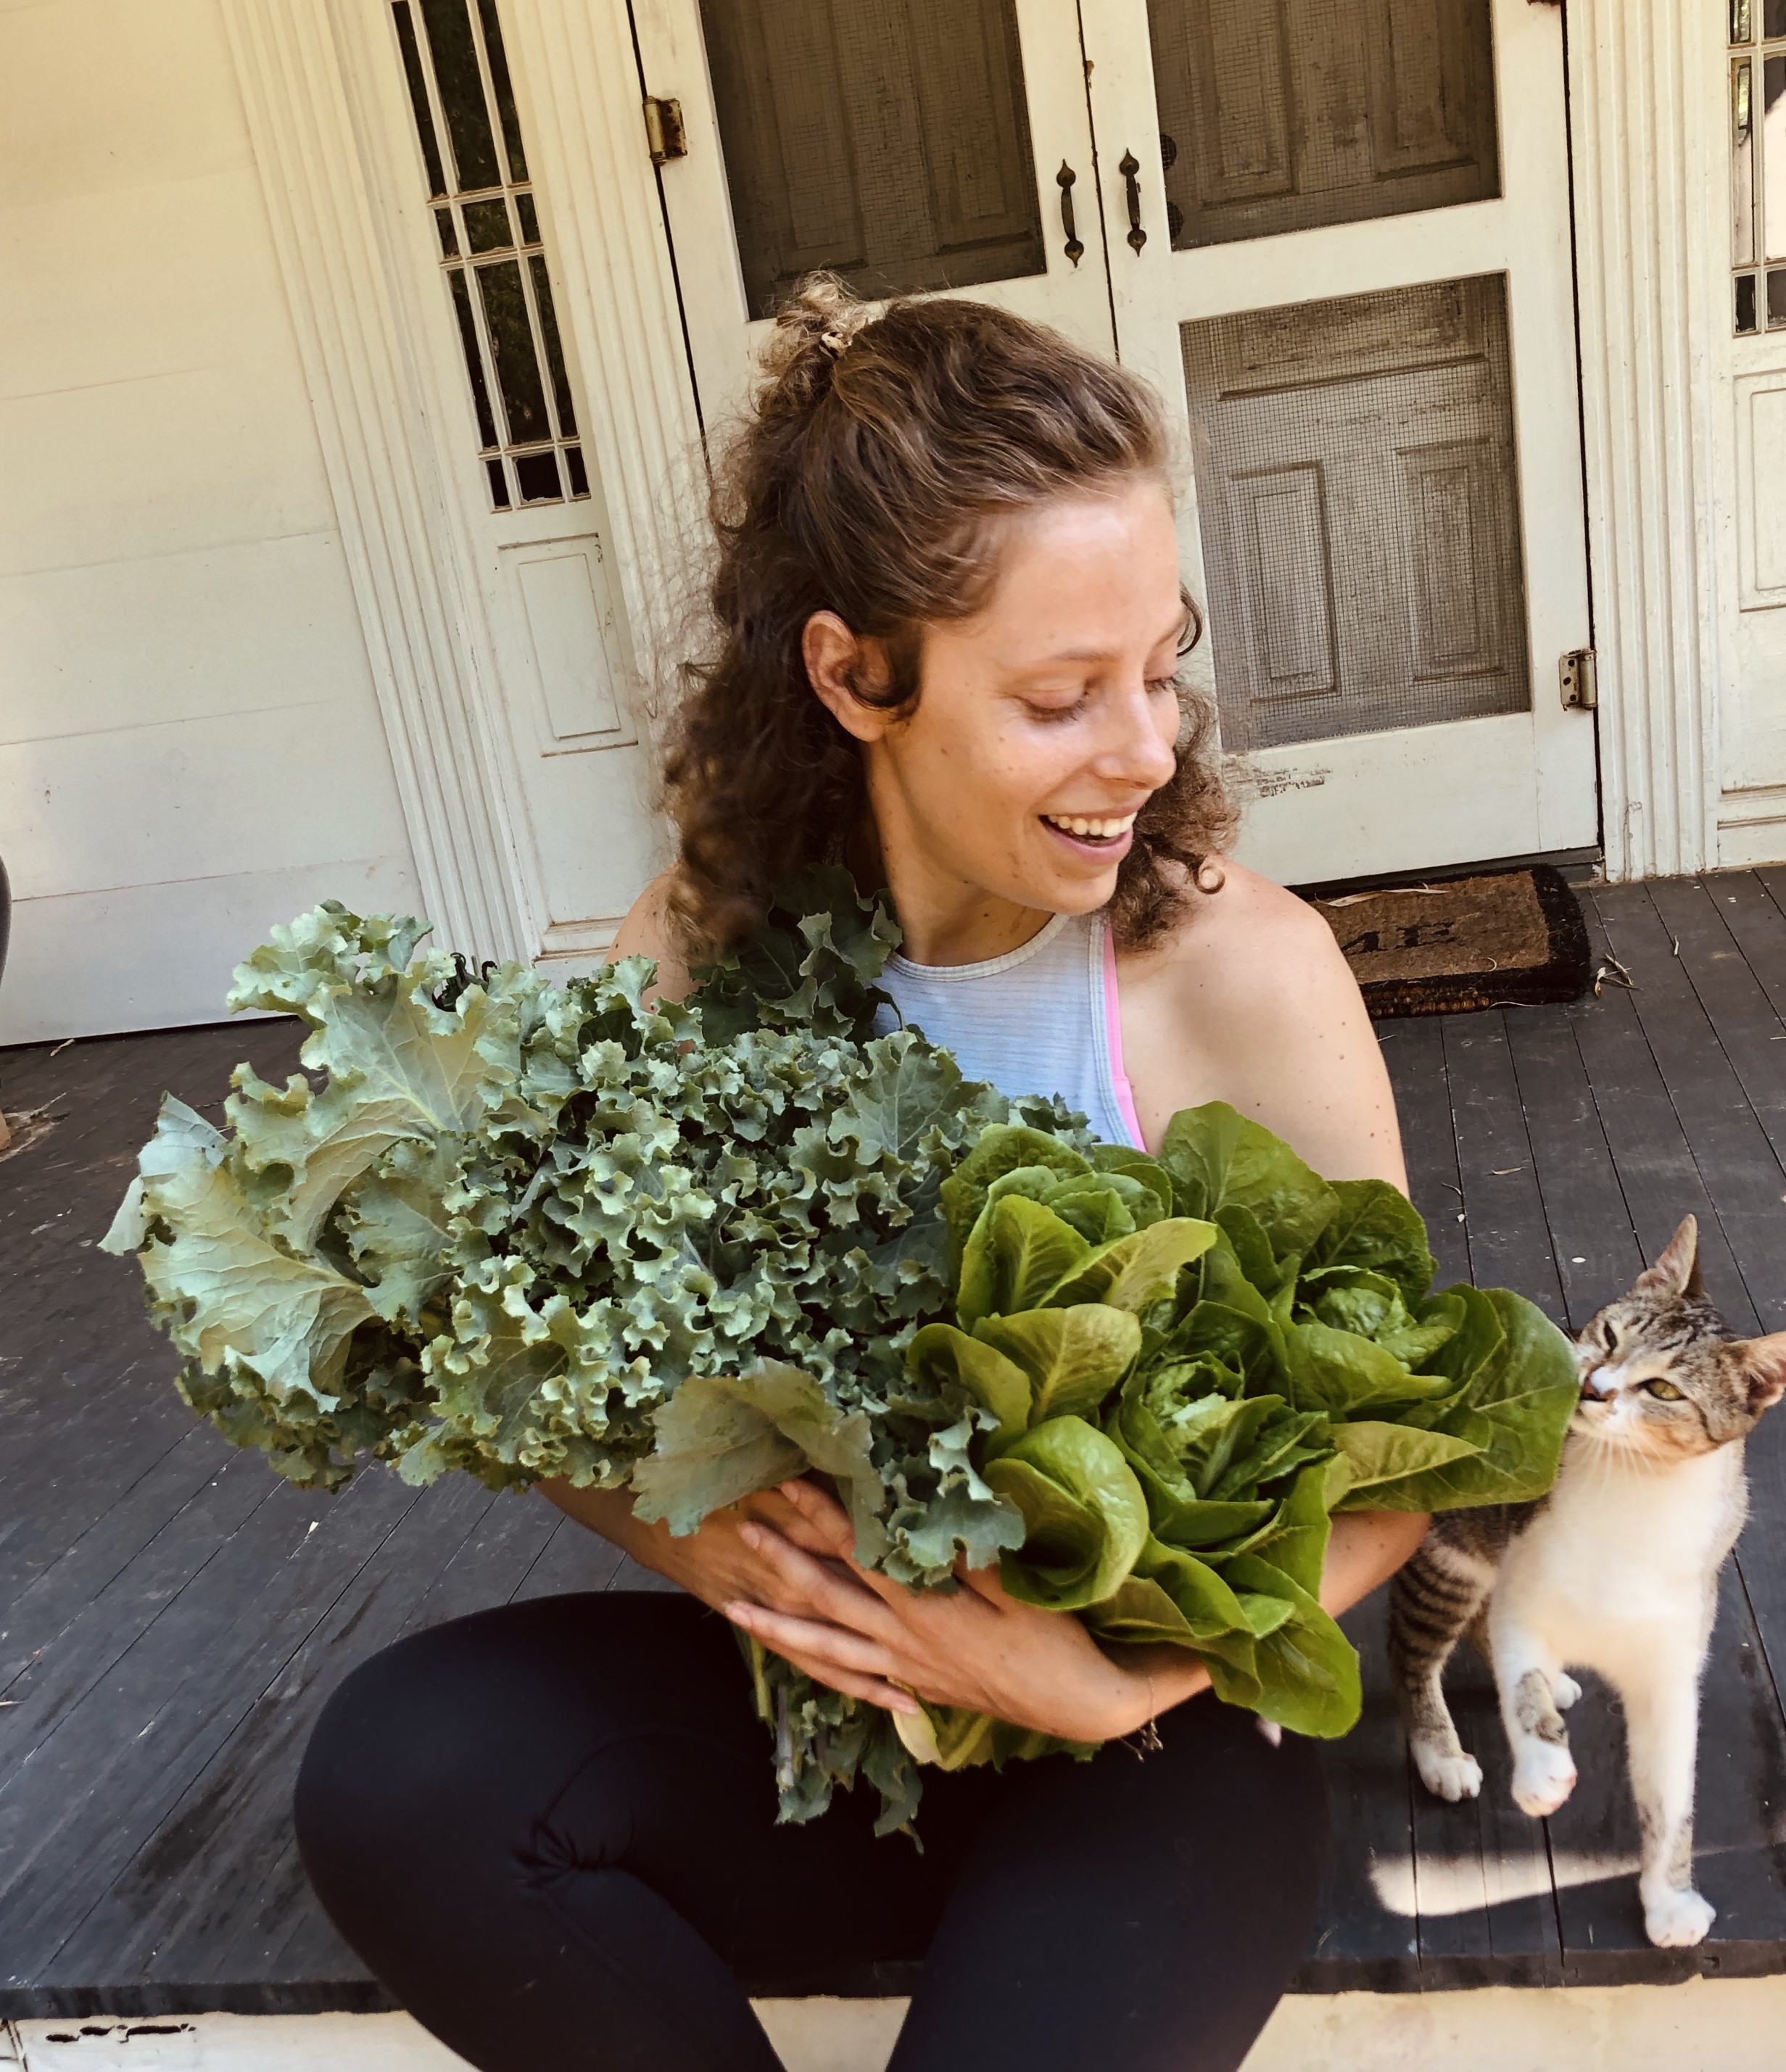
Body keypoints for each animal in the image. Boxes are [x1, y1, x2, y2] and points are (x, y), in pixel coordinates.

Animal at [1400, 1210, 1786, 1939]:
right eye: (1609, 1336)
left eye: (1663, 1389)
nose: (1592, 1387)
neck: (1634, 1493)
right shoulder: (1526, 1585)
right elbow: (1519, 1679)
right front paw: (1542, 1769)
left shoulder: (1672, 1664)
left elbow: (1673, 1791)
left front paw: (1669, 1897)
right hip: (1450, 1548)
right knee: (1412, 1651)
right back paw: (1440, 1752)